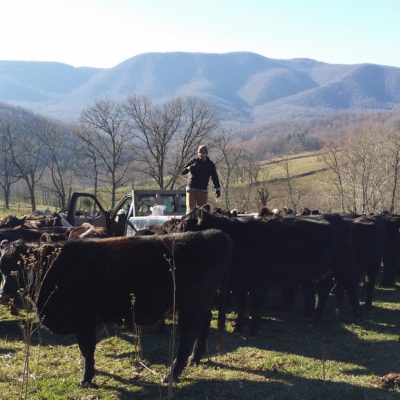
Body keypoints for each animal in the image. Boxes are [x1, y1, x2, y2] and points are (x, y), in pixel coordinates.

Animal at [34, 230, 233, 386]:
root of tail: (216, 234)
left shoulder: (84, 320)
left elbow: (87, 349)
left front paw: (86, 379)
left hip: (192, 305)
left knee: (189, 335)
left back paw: (171, 375)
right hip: (200, 303)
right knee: (204, 323)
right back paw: (194, 359)